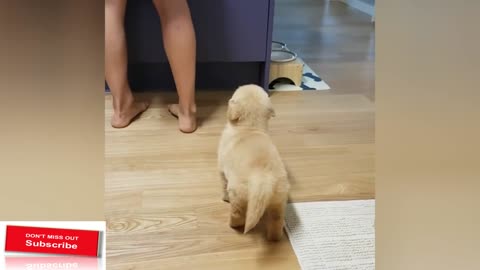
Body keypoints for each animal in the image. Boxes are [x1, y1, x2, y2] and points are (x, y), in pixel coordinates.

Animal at [218, 84, 288, 240]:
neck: (250, 128)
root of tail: (263, 179)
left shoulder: (221, 167)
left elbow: (223, 183)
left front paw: (224, 198)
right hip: (278, 201)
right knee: (276, 221)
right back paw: (274, 238)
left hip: (238, 196)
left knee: (237, 215)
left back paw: (233, 225)